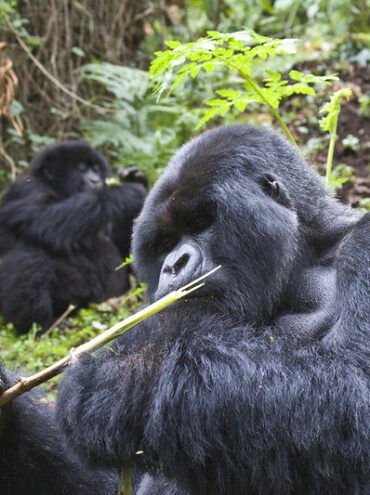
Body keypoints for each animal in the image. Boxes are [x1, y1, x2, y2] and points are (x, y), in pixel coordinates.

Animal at [0, 141, 146, 336]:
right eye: (82, 169)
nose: (95, 180)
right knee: (28, 261)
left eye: (95, 169)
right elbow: (47, 223)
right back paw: (43, 325)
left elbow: (126, 249)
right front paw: (126, 192)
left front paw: (137, 180)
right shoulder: (26, 190)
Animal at [56, 128, 368, 495]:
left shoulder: (364, 245)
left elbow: (356, 396)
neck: (305, 256)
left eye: (201, 222)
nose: (174, 265)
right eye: (165, 244)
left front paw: (128, 373)